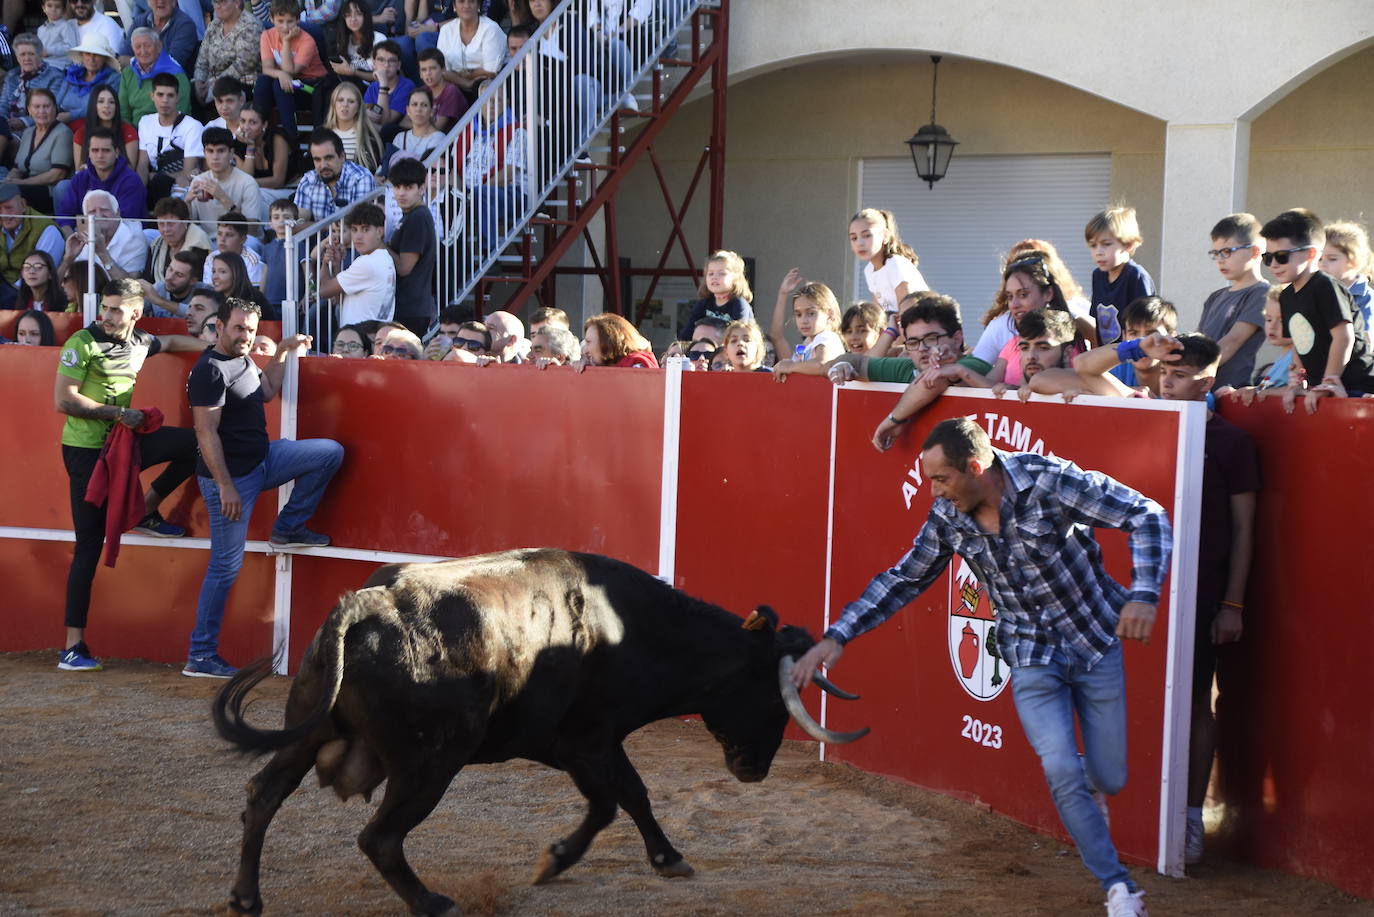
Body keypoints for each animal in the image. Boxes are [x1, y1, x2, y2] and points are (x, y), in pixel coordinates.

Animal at [212, 549, 862, 912]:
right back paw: (434, 903)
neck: (631, 629)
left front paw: (568, 859)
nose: (754, 769)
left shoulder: (572, 746)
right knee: (381, 838)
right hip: (431, 763)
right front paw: (658, 857)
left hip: (305, 733)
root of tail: (364, 603)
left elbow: (618, 800)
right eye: (774, 696)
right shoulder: (588, 740)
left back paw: (246, 897)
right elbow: (624, 797)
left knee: (263, 795)